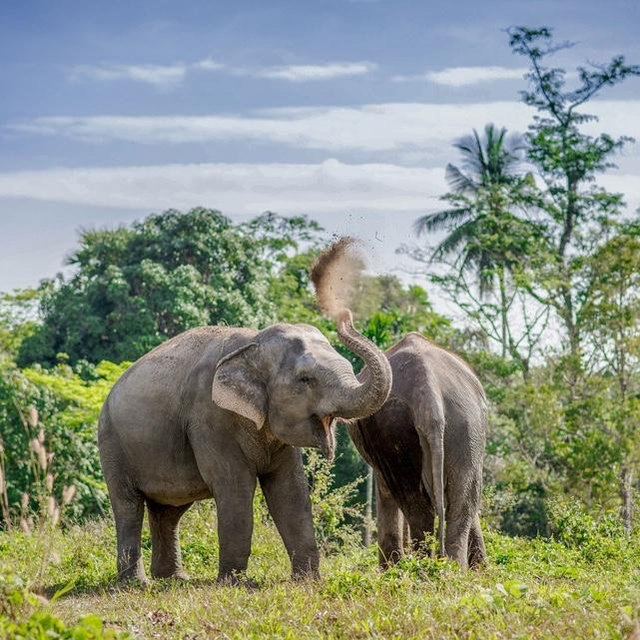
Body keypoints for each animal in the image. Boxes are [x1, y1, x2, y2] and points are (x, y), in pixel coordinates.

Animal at [98, 309, 391, 585]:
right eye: (305, 379)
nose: (345, 316)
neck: (253, 343)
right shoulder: (210, 417)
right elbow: (235, 486)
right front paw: (235, 583)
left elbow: (290, 490)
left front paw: (307, 580)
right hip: (112, 444)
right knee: (128, 507)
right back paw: (137, 583)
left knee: (169, 511)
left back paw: (175, 578)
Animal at [348, 332, 487, 569]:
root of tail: (428, 392)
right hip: (465, 427)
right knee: (460, 504)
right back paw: (450, 570)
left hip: (398, 429)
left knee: (417, 506)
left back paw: (421, 569)